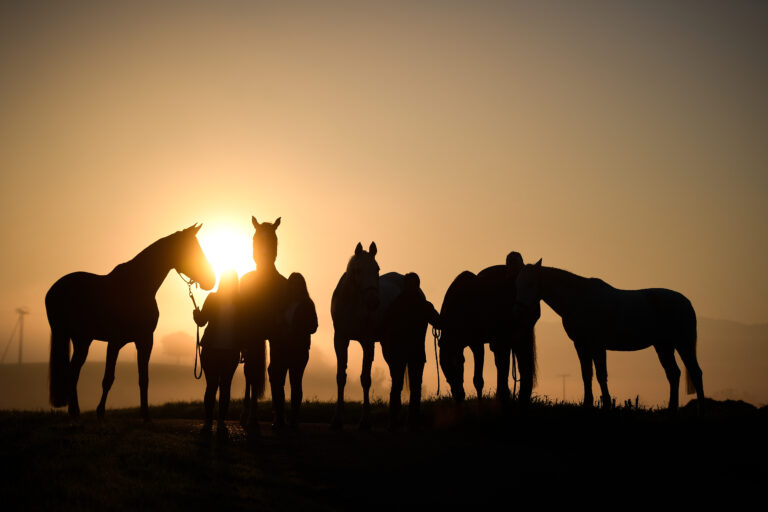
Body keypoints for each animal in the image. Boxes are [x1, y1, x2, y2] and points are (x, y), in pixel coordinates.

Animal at [45, 224, 215, 420]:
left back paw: (75, 413)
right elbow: (108, 378)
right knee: (72, 373)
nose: (211, 280)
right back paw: (75, 413)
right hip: (67, 335)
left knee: (73, 372)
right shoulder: (114, 342)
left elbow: (144, 379)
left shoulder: (145, 340)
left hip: (82, 340)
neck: (137, 287)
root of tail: (54, 288)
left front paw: (145, 415)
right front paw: (100, 413)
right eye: (192, 250)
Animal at [331, 242, 438, 430]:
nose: (373, 302)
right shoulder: (340, 340)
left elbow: (365, 379)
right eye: (358, 270)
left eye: (377, 269)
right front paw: (337, 420)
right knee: (396, 375)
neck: (353, 304)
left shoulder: (367, 342)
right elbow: (341, 377)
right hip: (388, 346)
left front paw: (365, 421)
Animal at [438, 251, 538, 407]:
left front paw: (480, 404)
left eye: (456, 365)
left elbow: (478, 380)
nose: (458, 395)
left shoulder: (477, 343)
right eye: (445, 369)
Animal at [513, 259, 704, 412]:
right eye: (517, 283)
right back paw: (672, 408)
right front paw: (588, 404)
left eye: (530, 283)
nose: (519, 310)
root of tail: (686, 302)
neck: (579, 299)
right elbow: (586, 374)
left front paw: (606, 404)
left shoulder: (597, 345)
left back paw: (700, 409)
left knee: (695, 372)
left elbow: (600, 374)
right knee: (673, 373)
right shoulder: (581, 345)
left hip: (683, 343)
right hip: (663, 345)